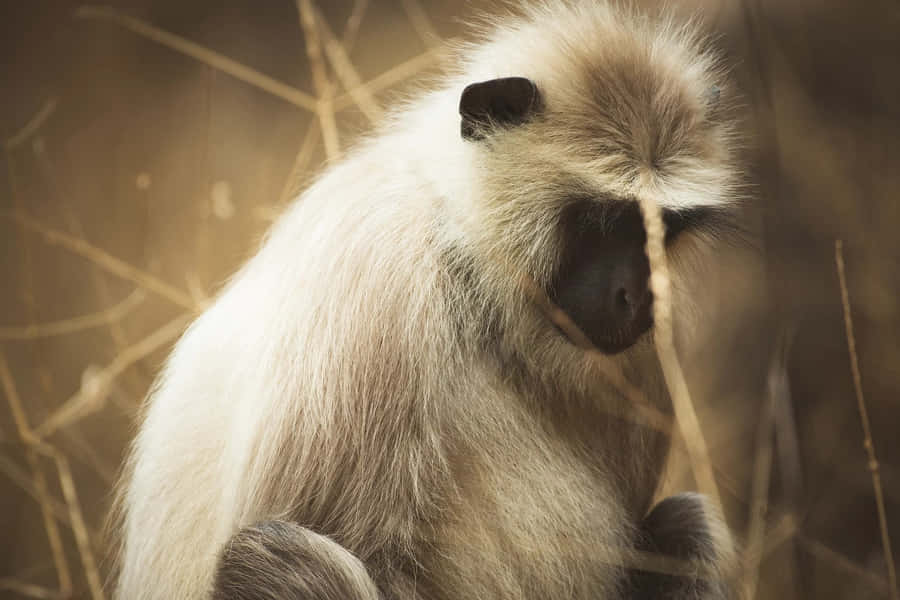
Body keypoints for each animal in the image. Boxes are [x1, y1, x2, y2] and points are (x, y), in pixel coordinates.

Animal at [111, 2, 745, 599]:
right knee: (266, 555)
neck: (468, 262)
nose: (641, 294)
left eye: (662, 229)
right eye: (606, 221)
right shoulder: (376, 271)